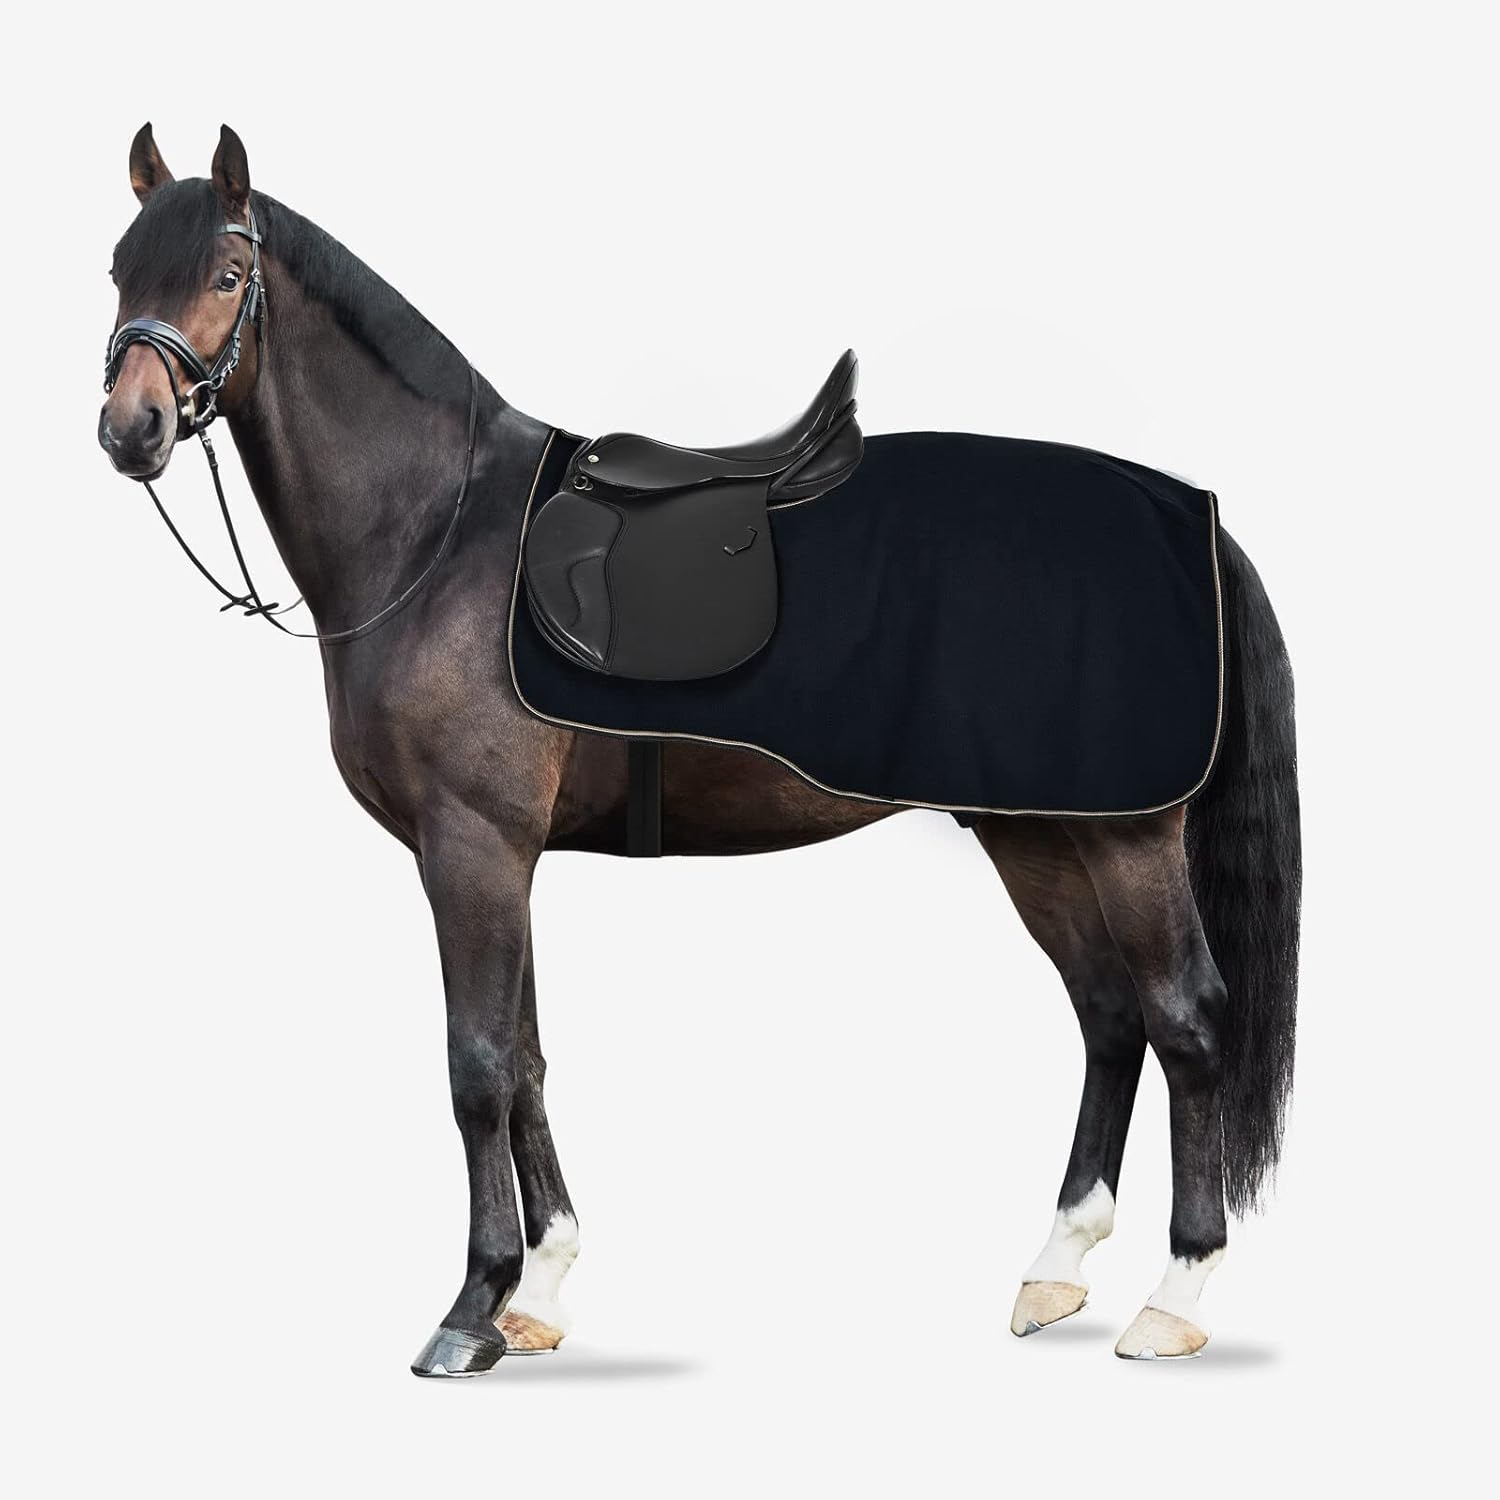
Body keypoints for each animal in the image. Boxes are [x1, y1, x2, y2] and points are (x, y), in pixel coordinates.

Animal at [97, 124, 1300, 1376]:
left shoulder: (470, 847)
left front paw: (472, 1307)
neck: (437, 529)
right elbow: (527, 1057)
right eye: (117, 272)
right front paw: (542, 1288)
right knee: (1110, 1017)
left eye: (225, 275)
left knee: (1188, 1021)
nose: (131, 429)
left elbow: (477, 1067)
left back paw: (1177, 1294)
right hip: (1039, 835)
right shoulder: (502, 857)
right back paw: (1057, 1267)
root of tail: (1191, 515)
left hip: (1126, 840)